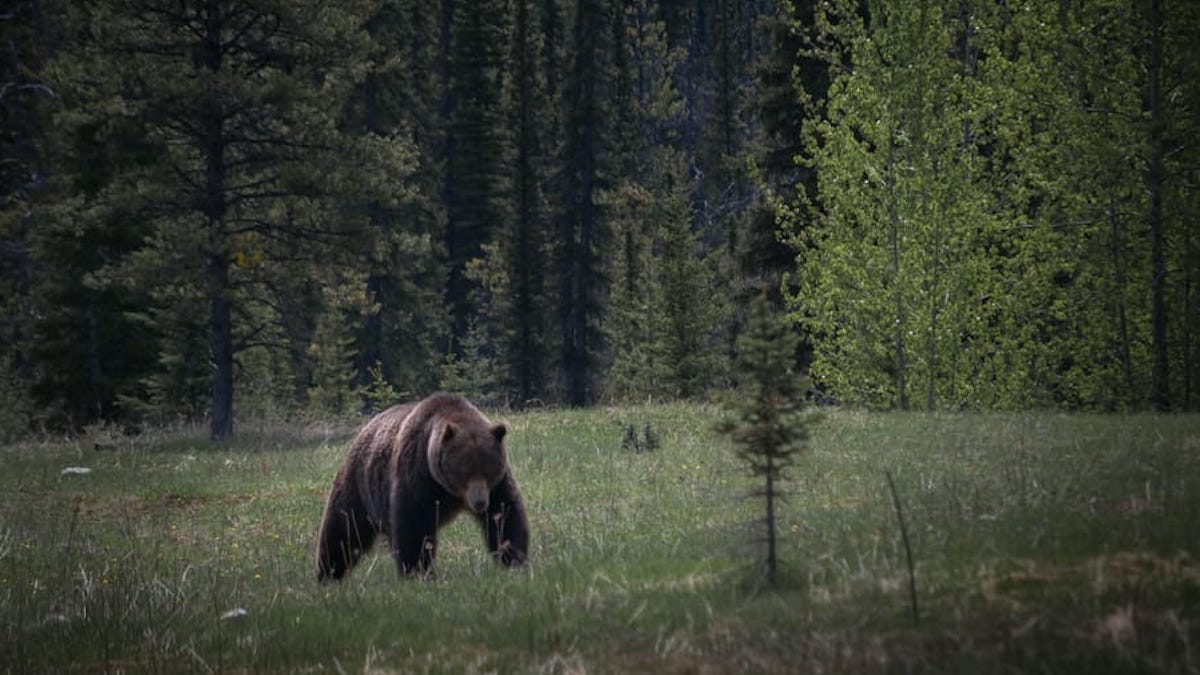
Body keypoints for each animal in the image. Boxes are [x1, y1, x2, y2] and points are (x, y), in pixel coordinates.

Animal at [316, 393, 528, 578]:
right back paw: (328, 573)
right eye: (465, 472)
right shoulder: (417, 475)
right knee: (343, 529)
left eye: (489, 471)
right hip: (359, 486)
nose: (479, 502)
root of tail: (365, 429)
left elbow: (505, 513)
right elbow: (414, 526)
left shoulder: (498, 485)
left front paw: (514, 558)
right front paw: (418, 572)